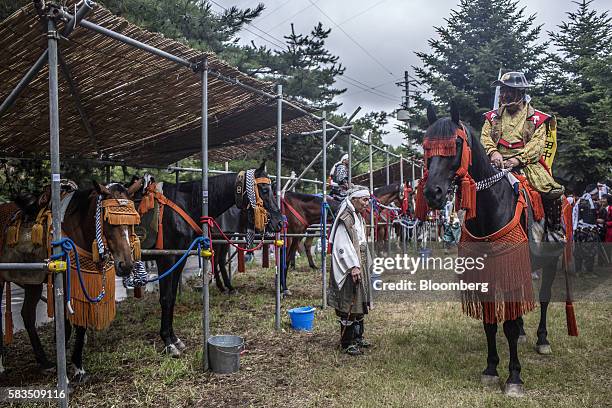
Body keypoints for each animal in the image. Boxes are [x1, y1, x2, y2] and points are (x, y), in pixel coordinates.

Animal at [0, 182, 137, 382]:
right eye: (108, 221)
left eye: (133, 222)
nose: (126, 265)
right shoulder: (64, 286)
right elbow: (65, 327)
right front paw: (64, 371)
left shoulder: (83, 284)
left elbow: (80, 326)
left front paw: (77, 367)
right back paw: (2, 365)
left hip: (32, 281)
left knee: (27, 315)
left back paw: (44, 362)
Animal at [130, 161, 284, 356]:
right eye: (264, 189)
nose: (280, 222)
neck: (186, 203)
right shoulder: (167, 259)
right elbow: (165, 298)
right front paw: (168, 342)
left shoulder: (180, 258)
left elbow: (172, 297)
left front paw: (174, 338)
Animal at [420, 103, 568, 396]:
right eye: (427, 146)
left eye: (455, 143)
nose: (433, 193)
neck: (492, 204)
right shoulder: (486, 271)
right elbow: (490, 323)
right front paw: (490, 369)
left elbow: (507, 325)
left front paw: (514, 377)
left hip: (551, 260)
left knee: (544, 298)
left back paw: (542, 340)